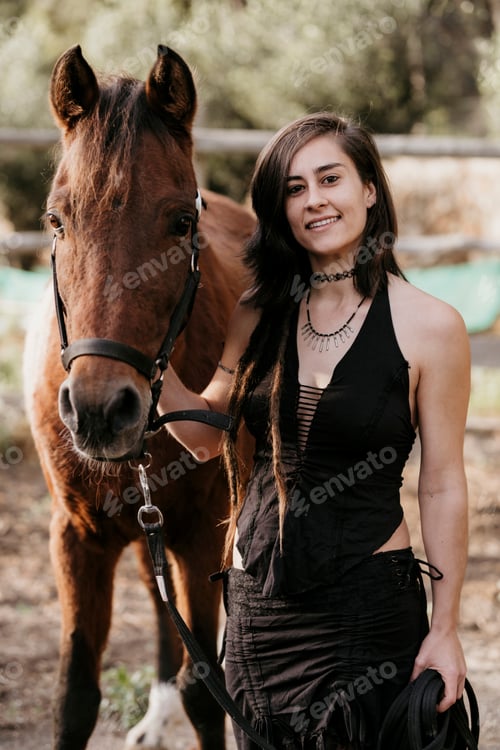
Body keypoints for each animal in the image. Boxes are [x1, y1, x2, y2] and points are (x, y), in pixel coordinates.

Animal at [23, 44, 255, 750]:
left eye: (182, 221)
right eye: (55, 220)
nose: (100, 411)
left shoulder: (201, 536)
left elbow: (206, 689)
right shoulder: (76, 540)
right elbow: (74, 696)